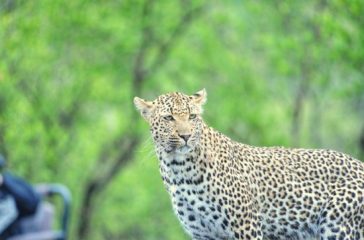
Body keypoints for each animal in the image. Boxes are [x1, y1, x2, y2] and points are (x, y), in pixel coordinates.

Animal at [134, 89, 364, 239]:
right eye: (168, 118)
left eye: (192, 116)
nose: (186, 136)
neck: (179, 169)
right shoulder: (204, 234)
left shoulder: (246, 226)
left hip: (337, 225)